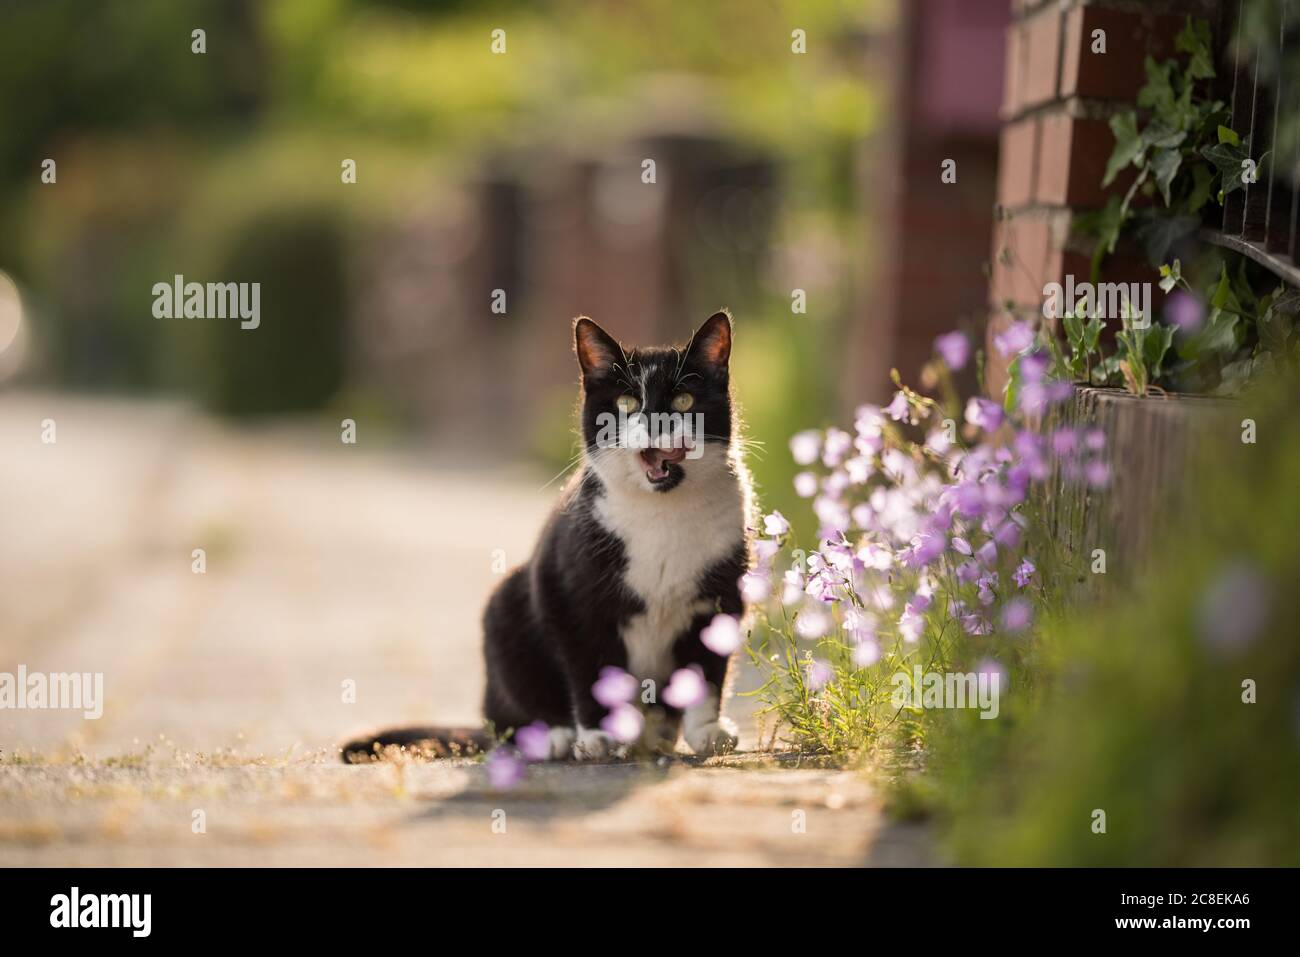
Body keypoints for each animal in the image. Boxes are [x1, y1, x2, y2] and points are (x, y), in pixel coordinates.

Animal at [340, 312, 759, 764]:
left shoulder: (721, 597)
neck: (663, 513)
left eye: (683, 400)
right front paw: (598, 736)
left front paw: (707, 730)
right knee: (509, 720)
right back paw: (555, 737)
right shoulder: (569, 594)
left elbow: (707, 670)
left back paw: (654, 736)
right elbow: (591, 671)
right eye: (626, 403)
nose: (654, 422)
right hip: (506, 609)